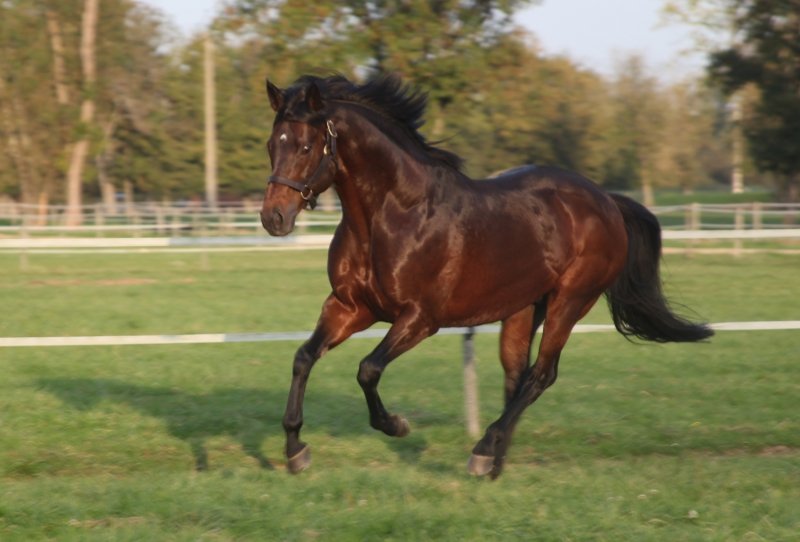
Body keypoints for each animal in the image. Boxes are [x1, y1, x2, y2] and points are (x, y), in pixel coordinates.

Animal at [260, 73, 713, 479]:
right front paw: (295, 451)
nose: (273, 218)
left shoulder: (420, 319)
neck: (392, 215)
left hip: (570, 301)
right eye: (271, 144)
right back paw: (494, 462)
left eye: (305, 146)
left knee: (541, 375)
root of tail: (607, 201)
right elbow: (303, 358)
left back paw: (482, 451)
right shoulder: (351, 307)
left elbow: (368, 369)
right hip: (523, 308)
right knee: (518, 377)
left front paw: (396, 425)